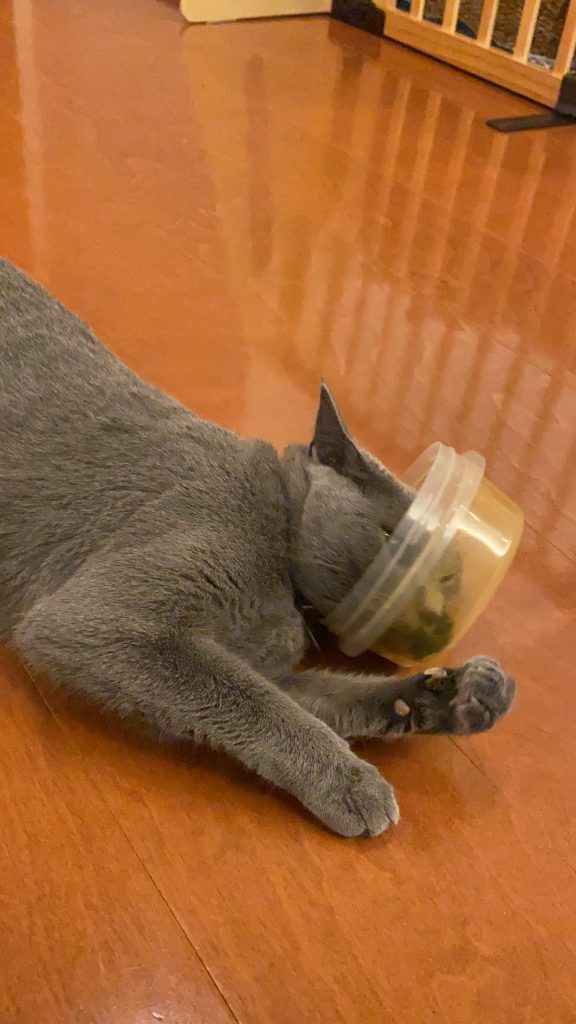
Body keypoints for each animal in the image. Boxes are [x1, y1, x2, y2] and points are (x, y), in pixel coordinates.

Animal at [0, 259, 515, 837]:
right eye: (392, 538)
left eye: (450, 579)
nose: (435, 617)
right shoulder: (105, 621)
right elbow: (257, 704)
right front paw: (352, 783)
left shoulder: (267, 665)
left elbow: (312, 696)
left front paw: (457, 695)